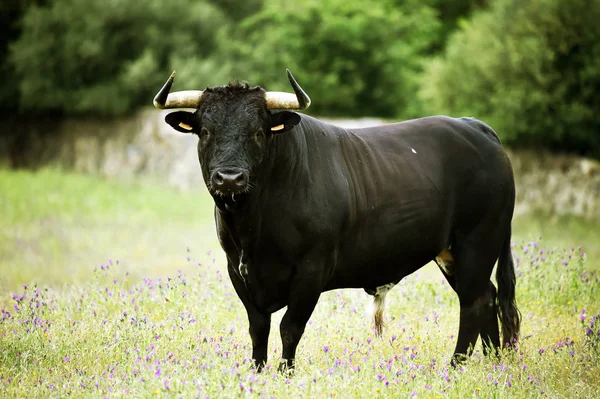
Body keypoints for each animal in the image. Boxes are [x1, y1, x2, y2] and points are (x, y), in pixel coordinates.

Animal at [155, 71, 520, 372]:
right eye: (205, 131)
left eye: (258, 132)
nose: (229, 178)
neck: (253, 226)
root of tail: (473, 126)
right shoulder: (238, 268)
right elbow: (258, 327)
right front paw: (256, 373)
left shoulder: (312, 269)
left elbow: (290, 327)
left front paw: (285, 373)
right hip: (452, 252)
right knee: (486, 296)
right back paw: (492, 362)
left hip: (478, 241)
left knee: (474, 302)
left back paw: (456, 366)